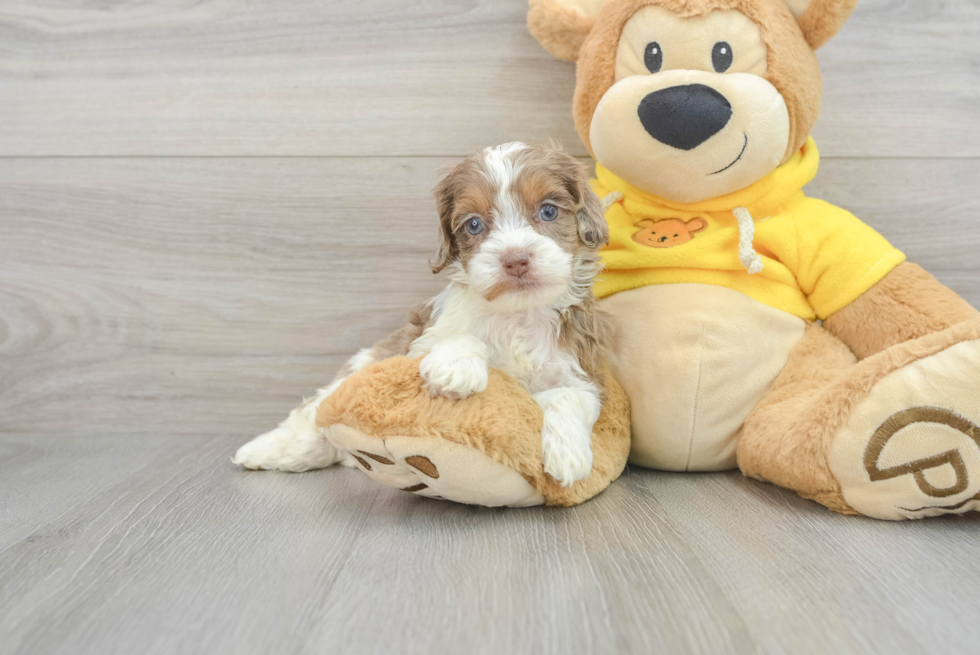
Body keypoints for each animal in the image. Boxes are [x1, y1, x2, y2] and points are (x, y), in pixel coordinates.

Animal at [233, 141, 608, 486]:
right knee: (312, 414)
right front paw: (455, 367)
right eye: (474, 225)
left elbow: (570, 396)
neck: (517, 314)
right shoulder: (416, 345)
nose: (515, 259)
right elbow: (460, 339)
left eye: (548, 212)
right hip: (357, 369)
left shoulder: (580, 371)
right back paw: (273, 449)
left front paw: (569, 457)